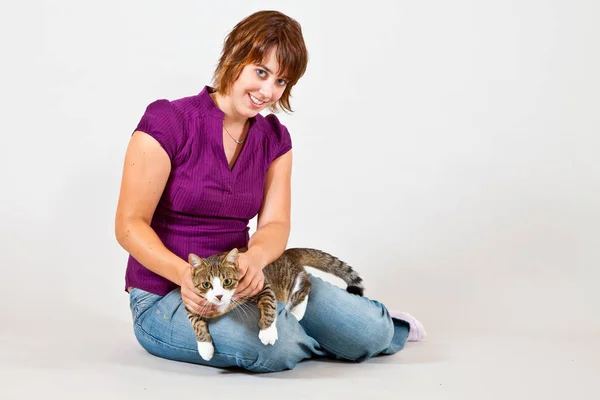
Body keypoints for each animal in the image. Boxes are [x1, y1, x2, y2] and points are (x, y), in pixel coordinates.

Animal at [185, 248, 364, 360]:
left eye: (227, 282)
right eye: (206, 285)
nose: (219, 296)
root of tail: (288, 252)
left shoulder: (261, 284)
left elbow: (269, 305)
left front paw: (267, 331)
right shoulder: (190, 301)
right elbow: (196, 323)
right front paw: (205, 348)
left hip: (289, 279)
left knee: (306, 283)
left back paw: (296, 311)